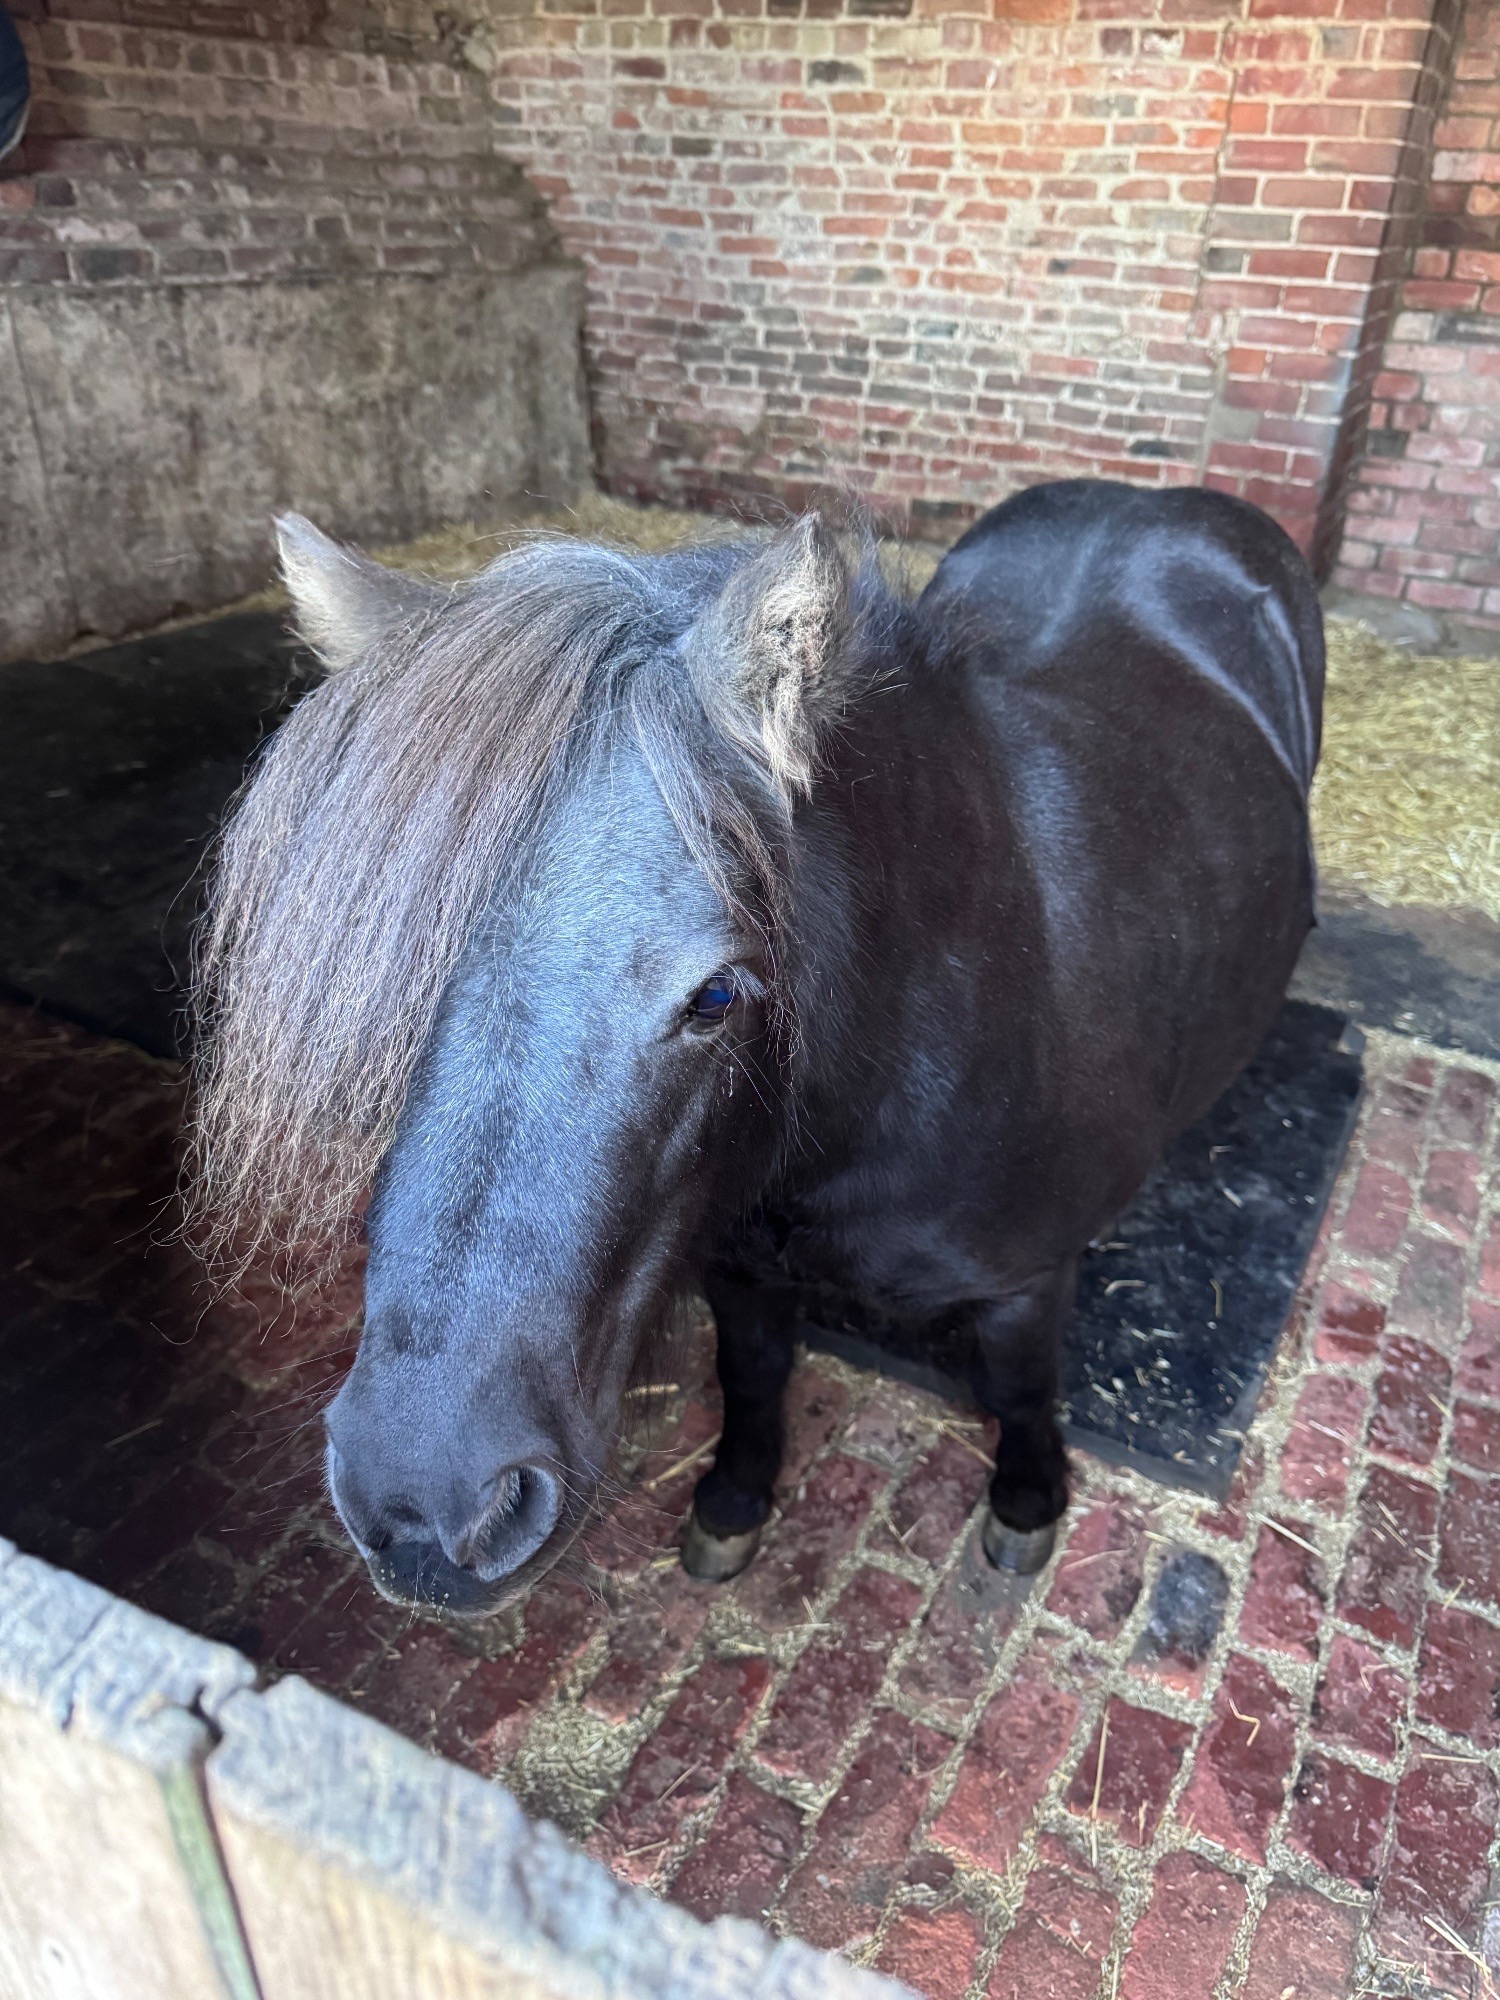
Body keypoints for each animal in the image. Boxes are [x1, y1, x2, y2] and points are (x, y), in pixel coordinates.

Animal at [191, 479, 1323, 1616]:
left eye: (717, 995)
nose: (429, 1508)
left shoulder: (1024, 1283)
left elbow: (1018, 1388)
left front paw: (1028, 1501)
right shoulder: (737, 1262)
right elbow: (754, 1376)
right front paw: (734, 1502)